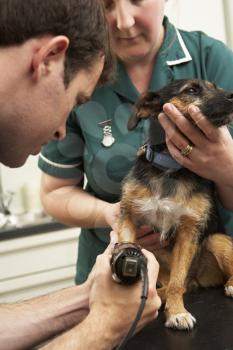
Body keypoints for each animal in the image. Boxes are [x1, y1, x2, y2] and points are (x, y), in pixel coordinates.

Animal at [117, 78, 233, 330]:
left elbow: (177, 283)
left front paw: (177, 312)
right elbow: (126, 245)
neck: (168, 168)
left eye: (216, 87)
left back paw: (230, 284)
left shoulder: (189, 231)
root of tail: (198, 279)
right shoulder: (128, 216)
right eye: (191, 90)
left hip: (216, 240)